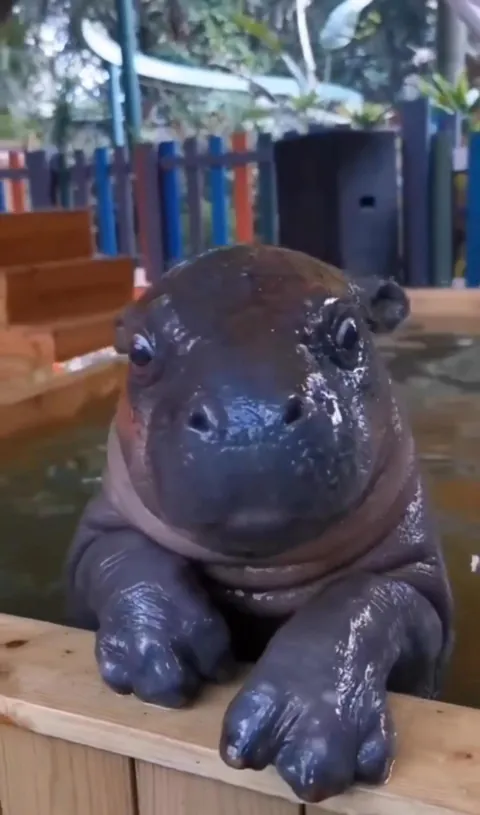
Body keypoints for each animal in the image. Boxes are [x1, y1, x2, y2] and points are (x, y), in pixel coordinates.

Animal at [66, 244, 453, 803]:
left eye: (350, 334)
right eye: (139, 351)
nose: (251, 418)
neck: (262, 573)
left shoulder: (423, 588)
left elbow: (364, 599)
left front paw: (303, 724)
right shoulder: (98, 534)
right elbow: (119, 556)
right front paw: (156, 650)